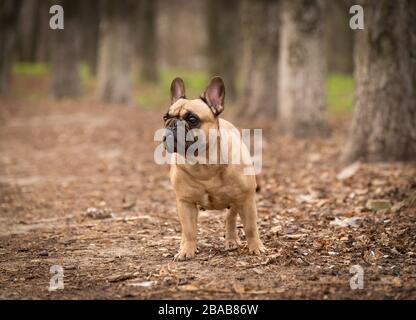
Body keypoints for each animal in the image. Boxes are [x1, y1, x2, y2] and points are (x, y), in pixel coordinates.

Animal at [162, 77, 266, 260]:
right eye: (165, 117)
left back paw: (231, 240)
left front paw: (256, 248)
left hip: (237, 200)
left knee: (230, 218)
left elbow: (251, 227)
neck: (203, 164)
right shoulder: (185, 202)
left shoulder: (246, 199)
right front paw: (187, 250)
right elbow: (189, 230)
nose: (172, 124)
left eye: (192, 119)